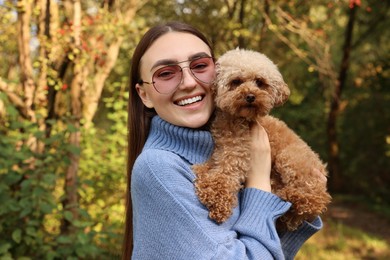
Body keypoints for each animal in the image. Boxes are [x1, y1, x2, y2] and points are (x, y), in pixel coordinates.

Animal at [193, 47, 330, 231]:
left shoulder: (238, 153)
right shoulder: (223, 146)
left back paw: (287, 195)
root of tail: (322, 168)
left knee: (313, 199)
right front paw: (202, 171)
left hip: (291, 159)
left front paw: (216, 198)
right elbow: (213, 163)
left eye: (259, 82)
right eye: (236, 81)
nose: (250, 96)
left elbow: (225, 174)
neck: (236, 120)